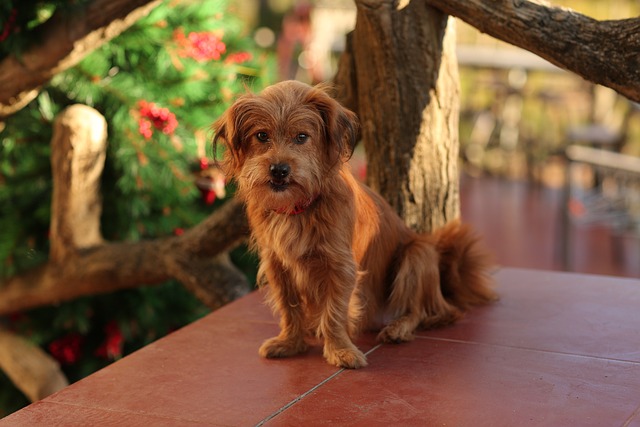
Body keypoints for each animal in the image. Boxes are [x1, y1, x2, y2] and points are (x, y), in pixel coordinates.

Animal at [214, 82, 496, 370]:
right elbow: (289, 307)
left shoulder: (340, 266)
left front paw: (340, 350)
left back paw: (398, 328)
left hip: (417, 255)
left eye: (302, 137)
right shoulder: (277, 265)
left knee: (424, 312)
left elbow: (335, 313)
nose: (279, 170)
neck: (299, 208)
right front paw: (290, 343)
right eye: (261, 136)